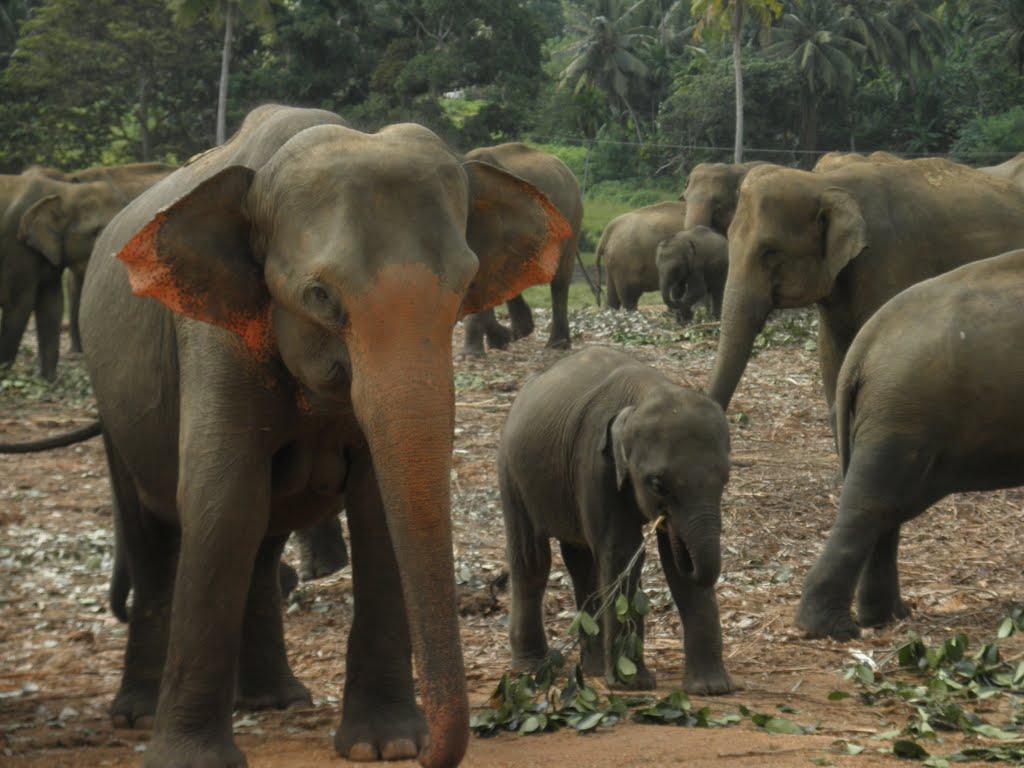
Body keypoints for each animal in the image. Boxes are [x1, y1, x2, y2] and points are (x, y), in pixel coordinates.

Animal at [460, 142, 581, 358]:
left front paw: (472, 355)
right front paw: (502, 340)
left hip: (572, 218)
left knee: (560, 280)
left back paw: (556, 344)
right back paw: (519, 332)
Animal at [497, 346, 733, 696]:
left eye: (725, 479)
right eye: (658, 484)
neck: (647, 392)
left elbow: (671, 564)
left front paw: (711, 688)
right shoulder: (595, 464)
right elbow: (623, 550)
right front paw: (633, 684)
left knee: (581, 561)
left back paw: (593, 668)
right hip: (511, 472)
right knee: (532, 560)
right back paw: (531, 667)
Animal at [794, 249, 1024, 638]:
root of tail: (865, 343)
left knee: (886, 507)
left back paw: (886, 616)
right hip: (903, 412)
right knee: (870, 506)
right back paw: (832, 628)